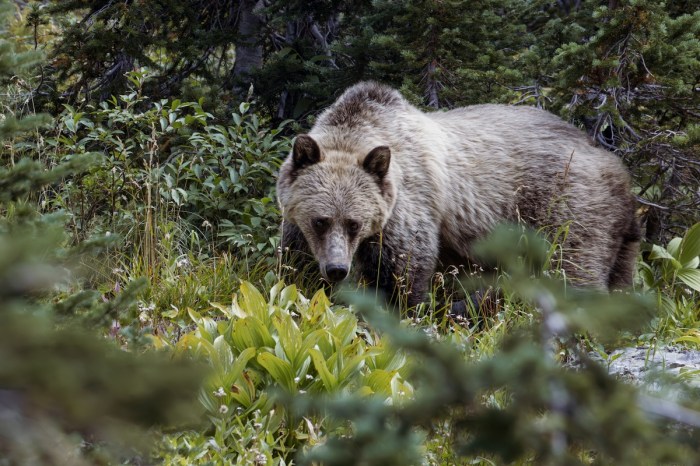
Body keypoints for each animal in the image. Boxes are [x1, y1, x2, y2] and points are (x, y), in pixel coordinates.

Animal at [276, 81, 640, 308]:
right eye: (321, 220)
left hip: (566, 205)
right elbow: (295, 266)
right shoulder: (297, 222)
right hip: (617, 233)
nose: (337, 269)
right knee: (619, 275)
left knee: (573, 268)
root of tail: (615, 165)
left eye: (354, 223)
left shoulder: (407, 206)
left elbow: (406, 269)